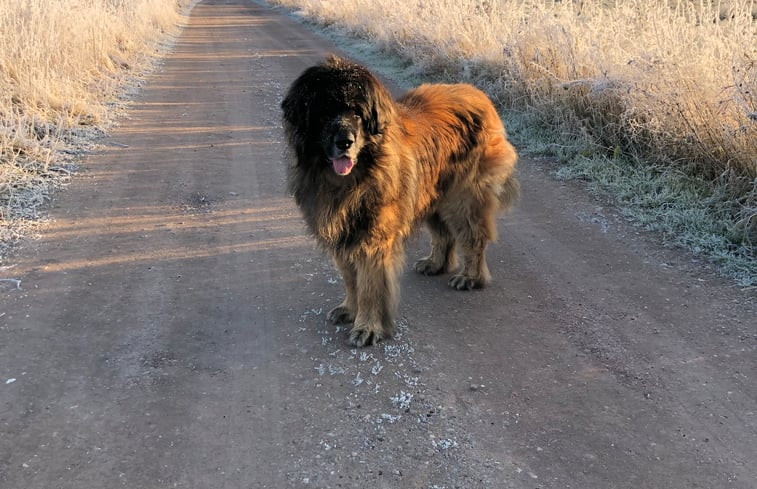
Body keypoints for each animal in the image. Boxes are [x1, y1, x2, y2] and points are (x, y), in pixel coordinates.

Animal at [280, 55, 516, 346]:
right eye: (324, 113)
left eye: (357, 113)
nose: (345, 142)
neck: (354, 178)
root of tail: (480, 96)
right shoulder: (345, 234)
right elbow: (350, 279)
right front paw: (349, 309)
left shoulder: (372, 239)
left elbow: (369, 285)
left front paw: (368, 327)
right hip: (431, 196)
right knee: (444, 234)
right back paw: (436, 264)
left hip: (461, 200)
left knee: (473, 237)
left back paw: (470, 277)